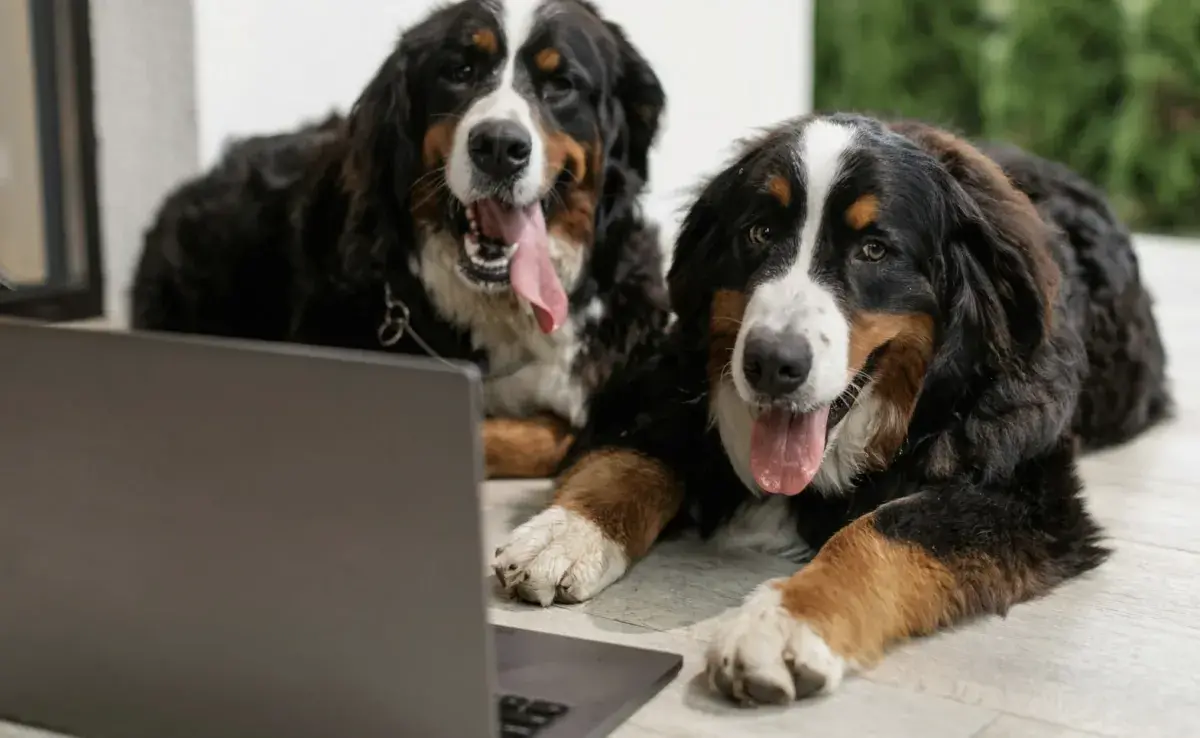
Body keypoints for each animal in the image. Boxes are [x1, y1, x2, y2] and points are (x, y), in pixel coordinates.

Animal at [492, 114, 1166, 705]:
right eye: (759, 233)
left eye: (873, 249)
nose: (771, 363)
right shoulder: (659, 390)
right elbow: (631, 459)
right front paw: (564, 534)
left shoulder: (1024, 494)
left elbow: (885, 529)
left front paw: (785, 624)